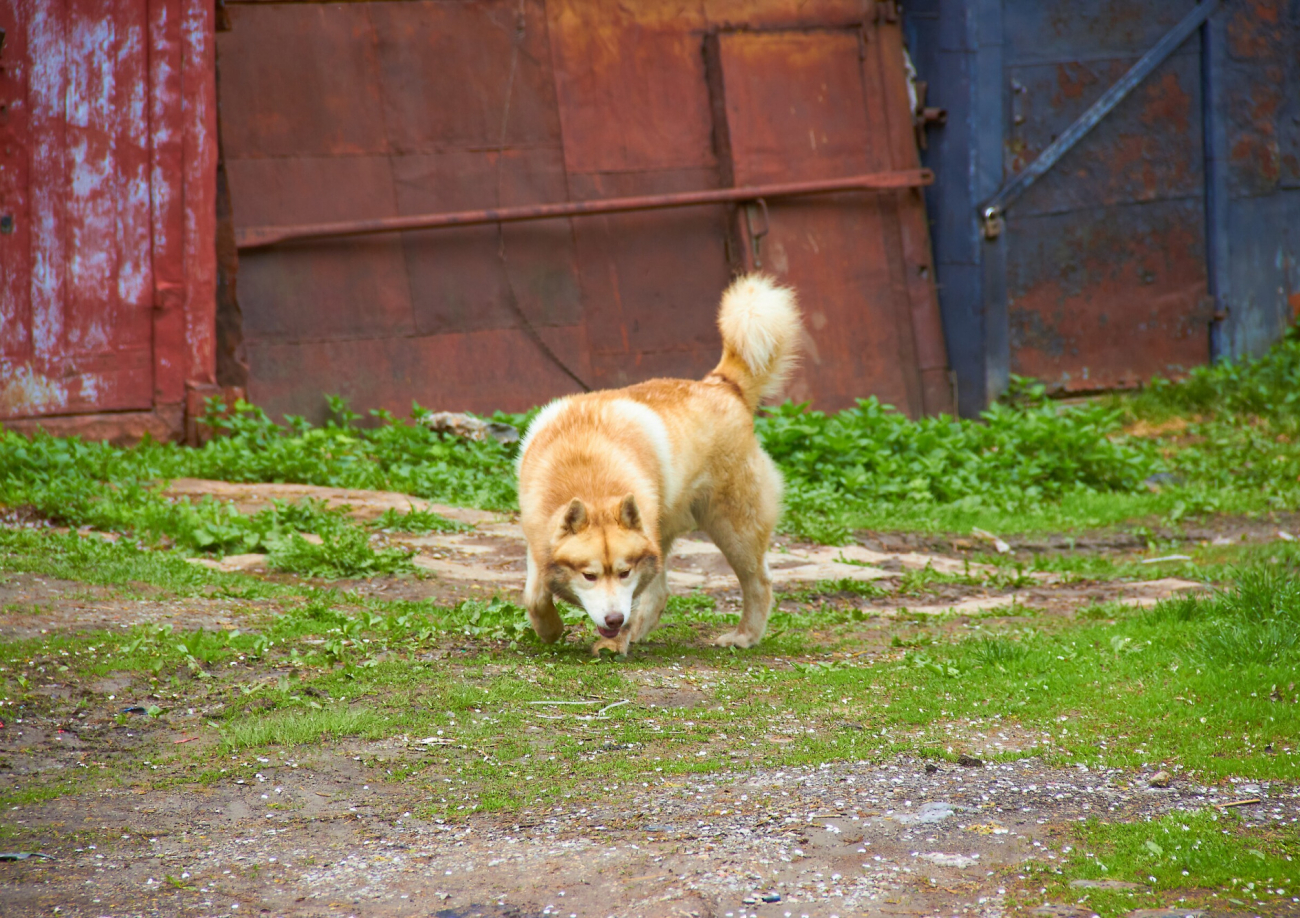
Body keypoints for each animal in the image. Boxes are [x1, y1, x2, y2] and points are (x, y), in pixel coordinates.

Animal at [514, 271, 800, 650]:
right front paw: (549, 628)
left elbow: (635, 596)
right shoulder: (537, 537)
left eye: (624, 572)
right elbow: (535, 594)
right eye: (589, 575)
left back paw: (744, 636)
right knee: (663, 592)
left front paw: (615, 641)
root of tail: (723, 386)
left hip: (733, 529)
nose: (613, 620)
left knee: (758, 582)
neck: (587, 472)